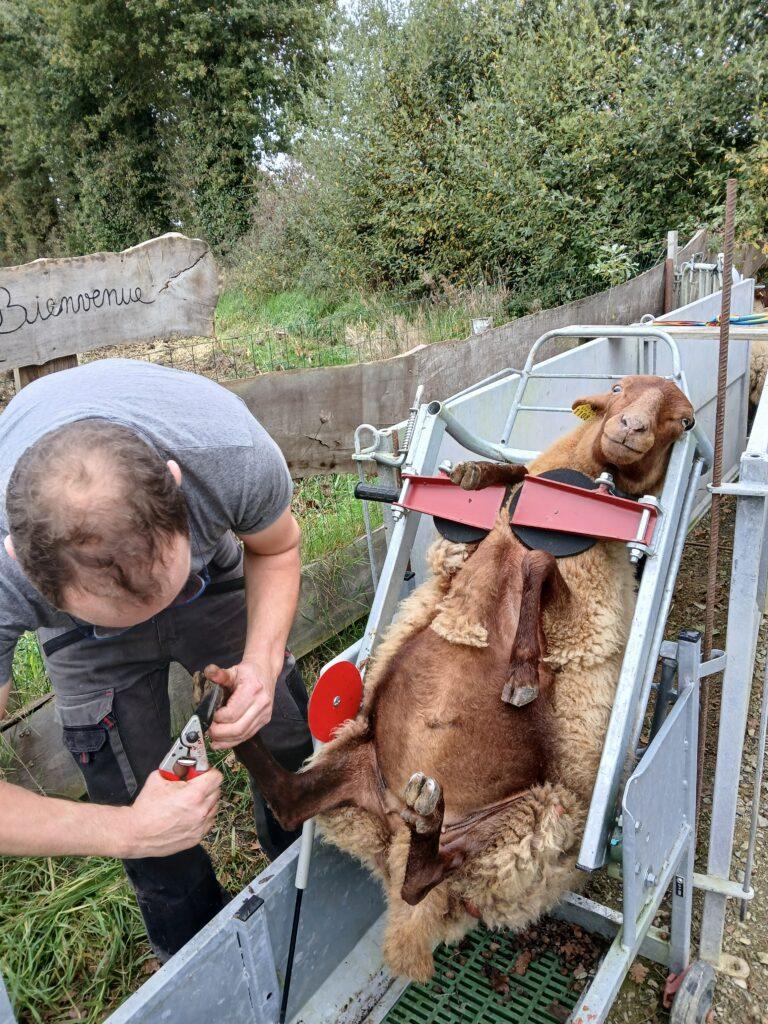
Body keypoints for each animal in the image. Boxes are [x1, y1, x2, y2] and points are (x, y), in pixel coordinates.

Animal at [234, 374, 696, 974]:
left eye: (685, 421)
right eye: (617, 389)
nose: (630, 428)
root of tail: (393, 822)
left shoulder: (569, 588)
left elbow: (539, 563)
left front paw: (522, 676)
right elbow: (513, 478)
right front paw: (473, 473)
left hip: (531, 815)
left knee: (421, 880)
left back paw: (428, 825)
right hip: (361, 755)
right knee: (294, 804)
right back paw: (229, 716)